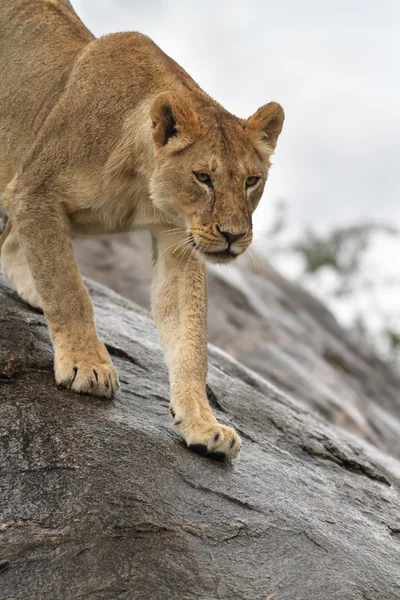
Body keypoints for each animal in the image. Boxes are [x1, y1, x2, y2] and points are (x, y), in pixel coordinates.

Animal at [0, 0, 282, 460]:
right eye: (203, 177)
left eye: (251, 181)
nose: (233, 235)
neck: (138, 180)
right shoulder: (34, 191)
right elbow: (69, 289)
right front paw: (89, 364)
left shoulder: (179, 239)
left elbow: (191, 339)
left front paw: (203, 423)